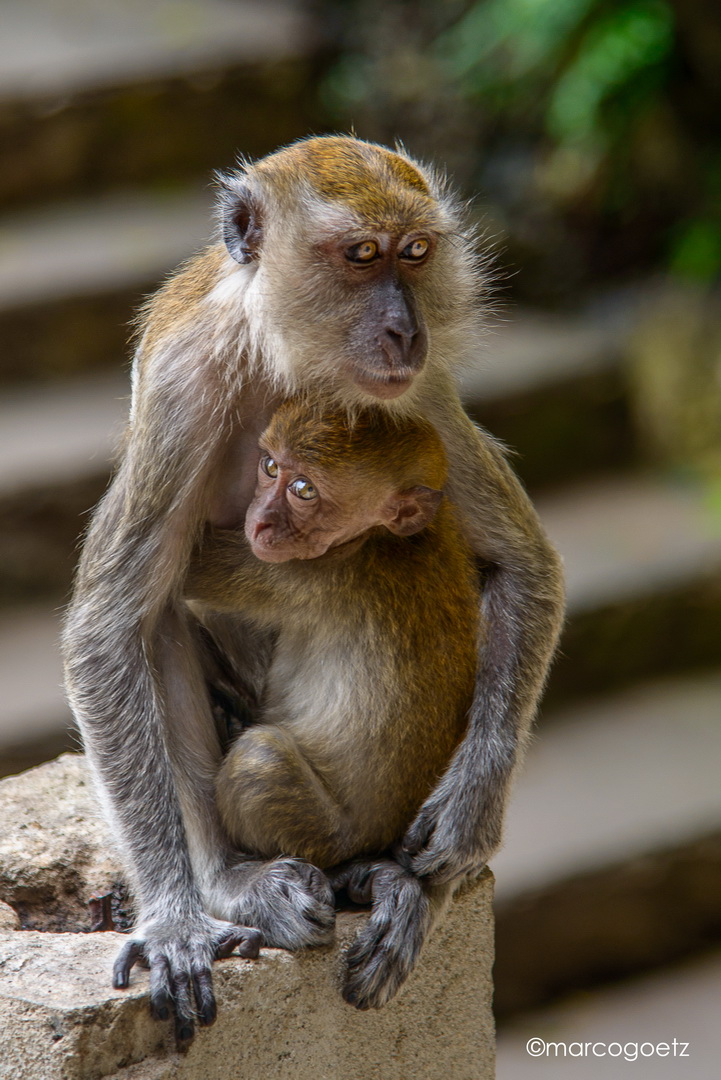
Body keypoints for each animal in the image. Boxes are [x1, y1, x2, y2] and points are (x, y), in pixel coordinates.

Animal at [185, 401, 481, 1006]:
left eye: (303, 490)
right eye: (269, 467)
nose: (260, 521)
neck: (382, 539)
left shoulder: (295, 571)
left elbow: (187, 573)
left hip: (324, 831)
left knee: (260, 759)